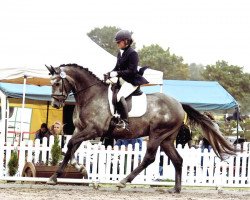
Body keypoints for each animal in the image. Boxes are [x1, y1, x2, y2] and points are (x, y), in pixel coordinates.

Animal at [45, 63, 236, 193]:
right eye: (50, 83)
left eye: (57, 83)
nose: (55, 104)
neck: (90, 96)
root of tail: (179, 104)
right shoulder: (80, 129)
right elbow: (69, 148)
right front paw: (69, 172)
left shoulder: (94, 130)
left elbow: (70, 145)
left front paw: (65, 174)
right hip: (167, 139)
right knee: (178, 160)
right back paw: (176, 189)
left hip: (157, 134)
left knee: (149, 158)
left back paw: (123, 181)